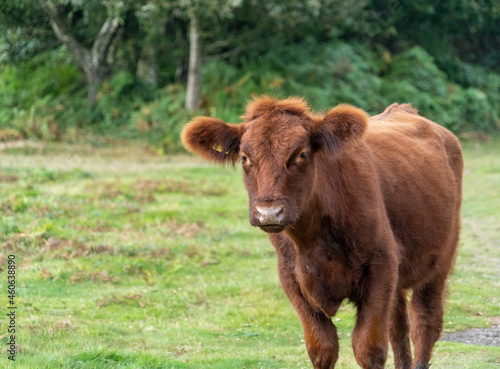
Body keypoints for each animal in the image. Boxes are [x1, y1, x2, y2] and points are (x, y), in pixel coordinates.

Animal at [182, 96, 462, 366]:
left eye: (301, 154)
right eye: (244, 158)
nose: (269, 212)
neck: (312, 241)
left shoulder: (380, 268)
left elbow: (368, 348)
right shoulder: (291, 277)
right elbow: (322, 348)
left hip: (438, 264)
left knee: (425, 323)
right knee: (398, 327)